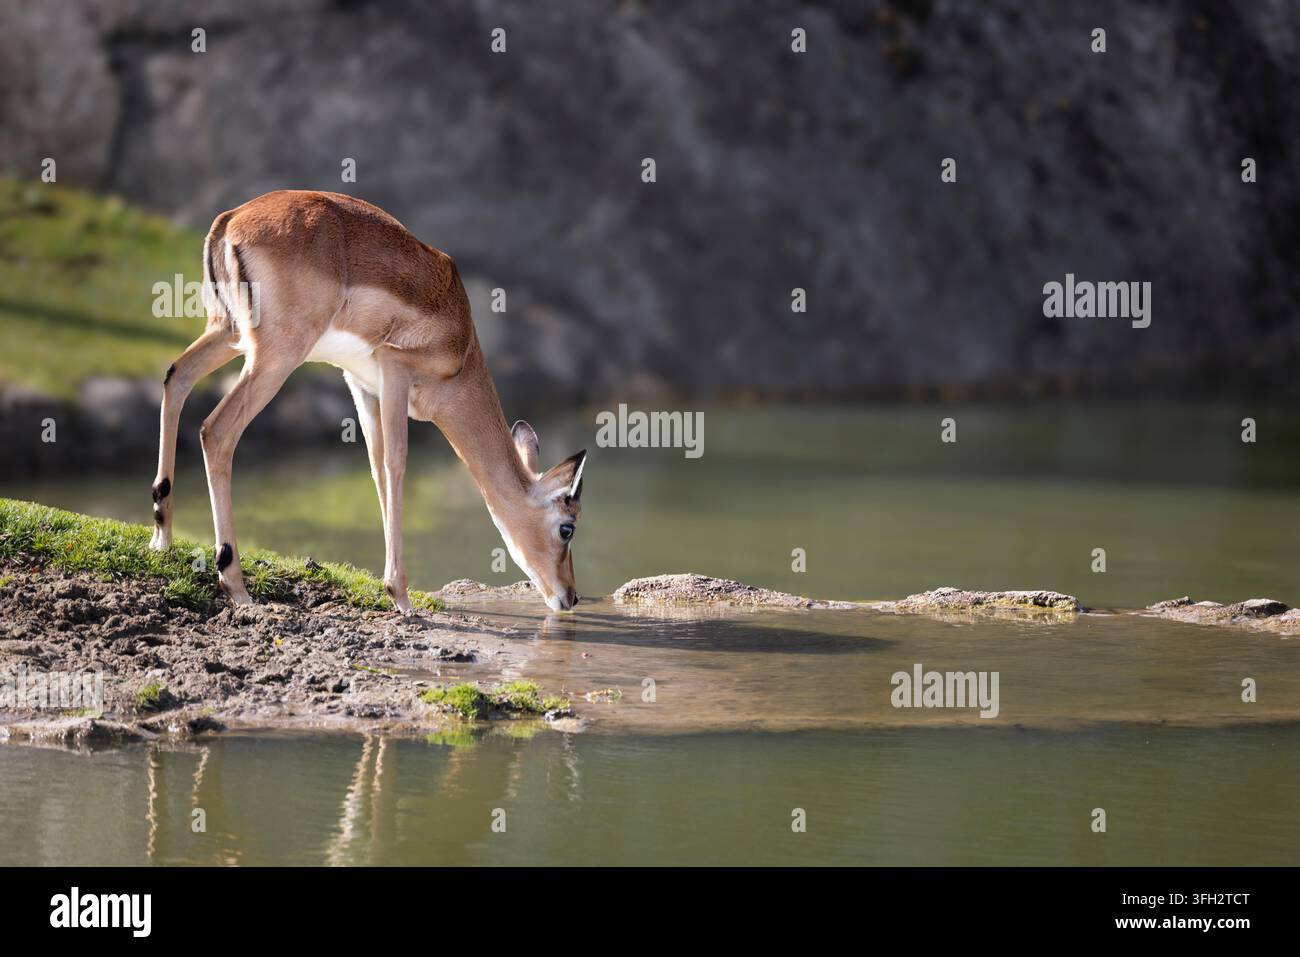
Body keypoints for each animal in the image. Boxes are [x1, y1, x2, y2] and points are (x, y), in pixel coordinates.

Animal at [149, 190, 587, 613]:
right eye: (567, 526)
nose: (570, 596)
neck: (461, 352)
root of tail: (229, 222)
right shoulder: (395, 370)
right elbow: (396, 463)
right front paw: (401, 596)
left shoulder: (361, 383)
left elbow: (376, 466)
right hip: (274, 356)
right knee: (216, 430)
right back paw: (235, 584)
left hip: (227, 332)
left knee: (176, 376)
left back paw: (162, 536)